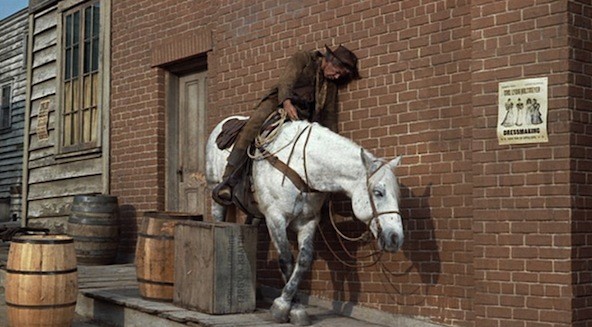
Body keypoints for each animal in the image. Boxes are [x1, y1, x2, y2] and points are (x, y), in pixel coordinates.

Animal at [206, 116, 404, 326]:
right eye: (378, 192)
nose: (395, 238)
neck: (302, 166)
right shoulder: (276, 217)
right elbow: (286, 259)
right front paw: (283, 306)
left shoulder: (308, 221)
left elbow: (303, 259)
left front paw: (296, 308)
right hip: (216, 194)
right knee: (218, 216)